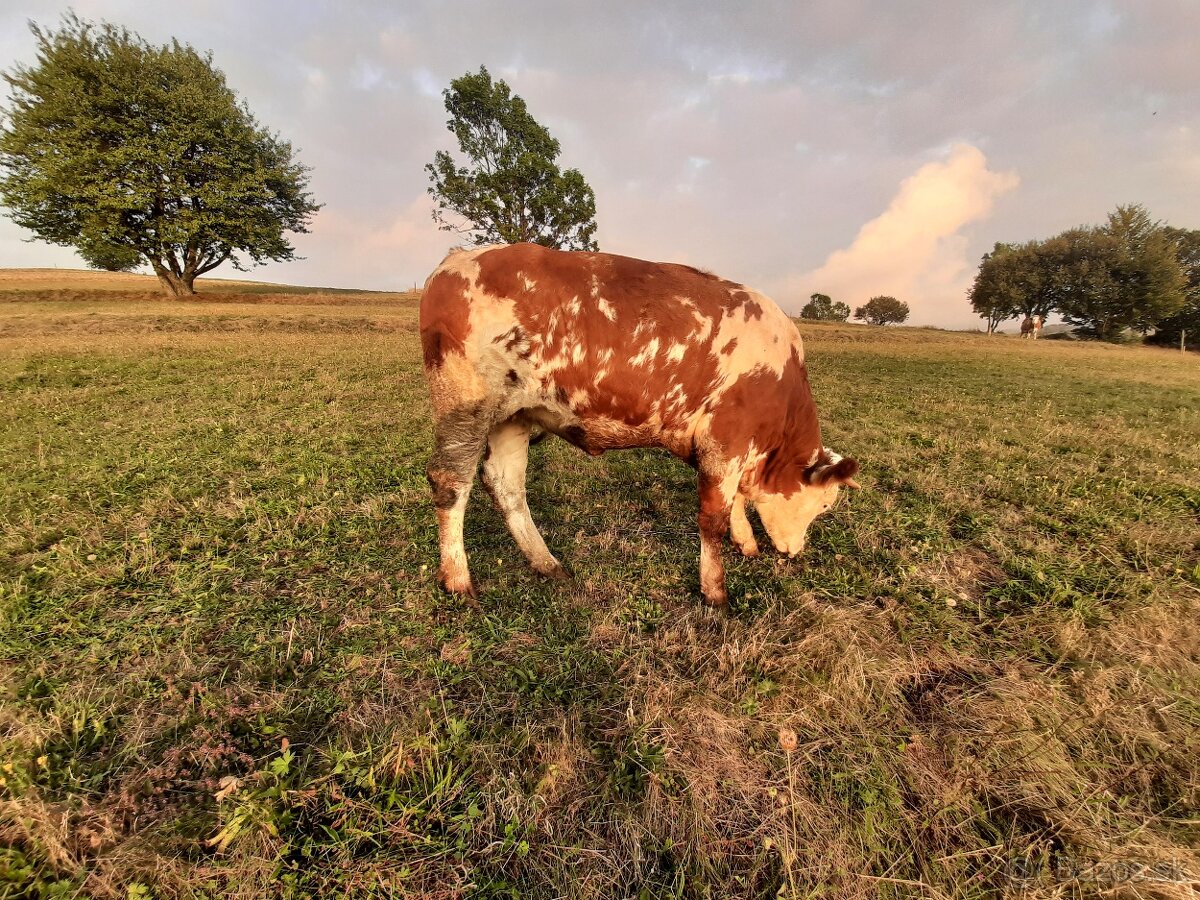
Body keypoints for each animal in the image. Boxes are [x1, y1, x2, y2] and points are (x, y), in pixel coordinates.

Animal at [417, 243, 859, 609]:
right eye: (824, 505)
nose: (795, 551)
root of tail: (458, 258)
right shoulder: (726, 439)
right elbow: (712, 519)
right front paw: (715, 591)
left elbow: (735, 502)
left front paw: (746, 543)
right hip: (465, 406)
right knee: (450, 483)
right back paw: (457, 580)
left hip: (513, 415)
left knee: (506, 486)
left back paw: (547, 564)